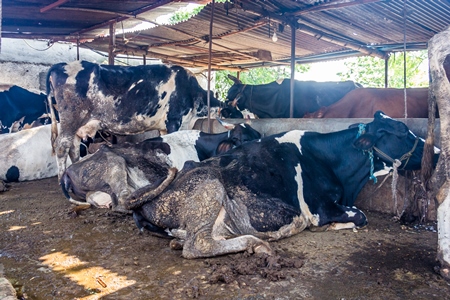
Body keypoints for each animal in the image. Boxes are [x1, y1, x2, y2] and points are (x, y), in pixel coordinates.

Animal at [46, 59, 222, 179]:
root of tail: (60, 65)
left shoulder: (167, 126)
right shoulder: (174, 120)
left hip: (78, 126)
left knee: (74, 148)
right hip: (71, 120)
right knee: (61, 147)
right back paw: (62, 180)